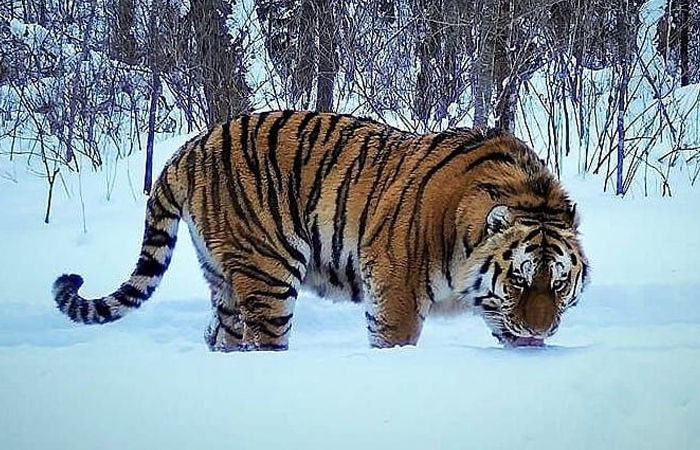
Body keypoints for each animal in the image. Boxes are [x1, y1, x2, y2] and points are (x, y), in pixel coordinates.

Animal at [53, 110, 589, 351]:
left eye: (559, 281)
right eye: (518, 277)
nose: (542, 327)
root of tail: (191, 146)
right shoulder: (395, 292)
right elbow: (395, 342)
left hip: (224, 280)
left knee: (224, 337)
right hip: (268, 274)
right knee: (263, 343)